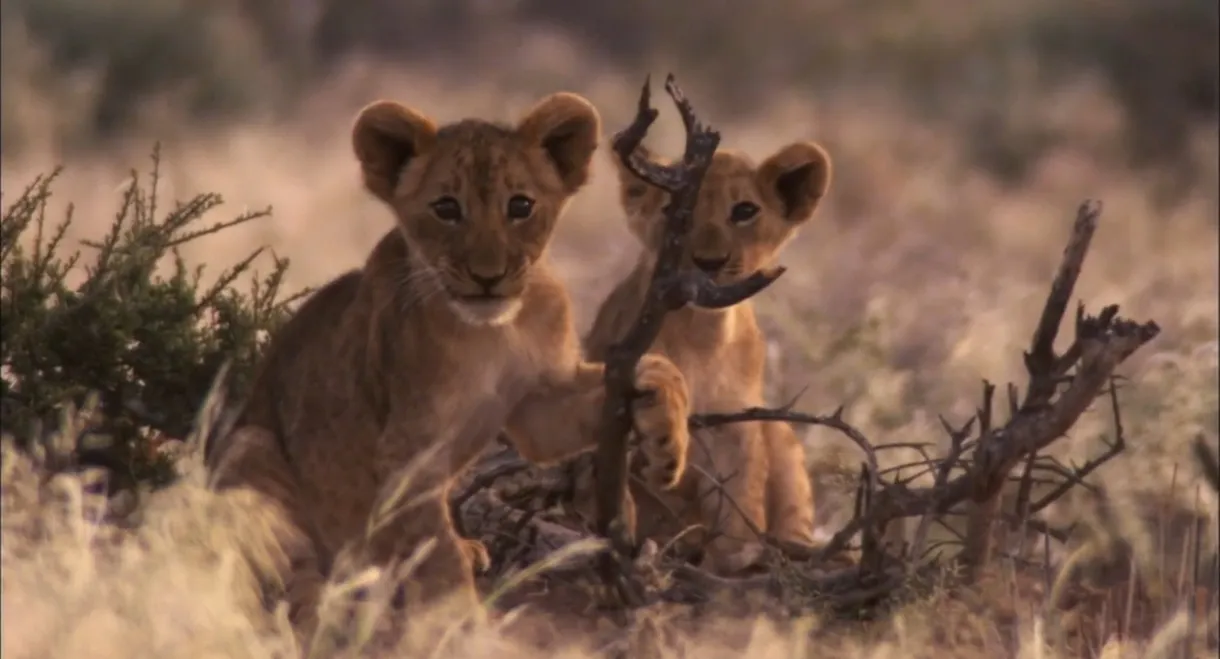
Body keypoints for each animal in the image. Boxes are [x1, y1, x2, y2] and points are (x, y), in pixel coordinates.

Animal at [205, 92, 693, 639]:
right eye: (446, 209)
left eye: (520, 206)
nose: (488, 277)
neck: (491, 333)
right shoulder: (406, 452)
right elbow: (435, 553)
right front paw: (459, 621)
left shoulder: (540, 404)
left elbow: (660, 369)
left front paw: (666, 443)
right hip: (250, 447)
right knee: (291, 580)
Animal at [578, 140, 833, 574]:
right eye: (674, 211)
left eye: (744, 211)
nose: (708, 262)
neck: (703, 332)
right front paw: (665, 446)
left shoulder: (737, 424)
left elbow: (741, 495)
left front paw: (735, 558)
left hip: (781, 436)